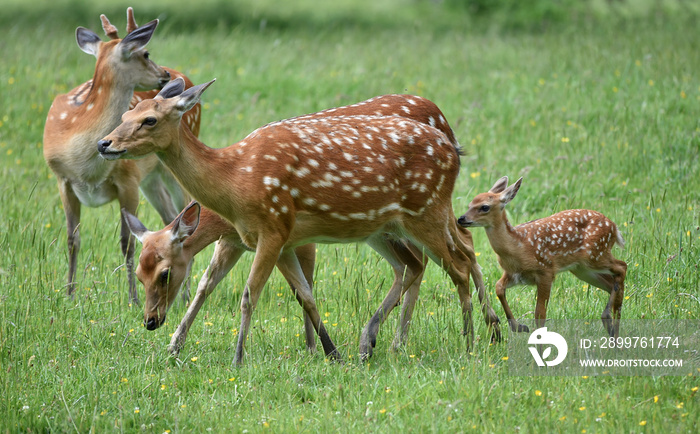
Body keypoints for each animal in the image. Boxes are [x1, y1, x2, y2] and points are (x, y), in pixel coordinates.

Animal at [42, 8, 198, 304]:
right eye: (146, 53)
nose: (165, 74)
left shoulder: (128, 180)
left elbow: (127, 243)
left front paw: (133, 299)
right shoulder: (62, 180)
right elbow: (72, 239)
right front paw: (69, 293)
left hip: (172, 165)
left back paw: (185, 294)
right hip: (152, 178)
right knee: (169, 217)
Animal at [100, 77, 504, 362]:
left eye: (149, 119)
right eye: (124, 116)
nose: (150, 321)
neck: (234, 178)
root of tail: (450, 142)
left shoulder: (275, 229)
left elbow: (251, 294)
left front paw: (239, 357)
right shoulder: (253, 238)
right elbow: (224, 287)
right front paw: (329, 351)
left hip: (427, 211)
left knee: (458, 261)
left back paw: (471, 341)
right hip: (387, 225)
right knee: (421, 264)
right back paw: (381, 342)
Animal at [456, 177, 628, 340]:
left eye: (484, 207)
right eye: (470, 204)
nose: (461, 219)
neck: (518, 248)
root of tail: (614, 227)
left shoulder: (546, 271)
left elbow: (540, 315)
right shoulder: (514, 274)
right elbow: (498, 287)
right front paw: (519, 326)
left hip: (596, 254)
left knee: (622, 266)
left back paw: (611, 326)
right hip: (582, 269)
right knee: (611, 283)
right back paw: (611, 331)